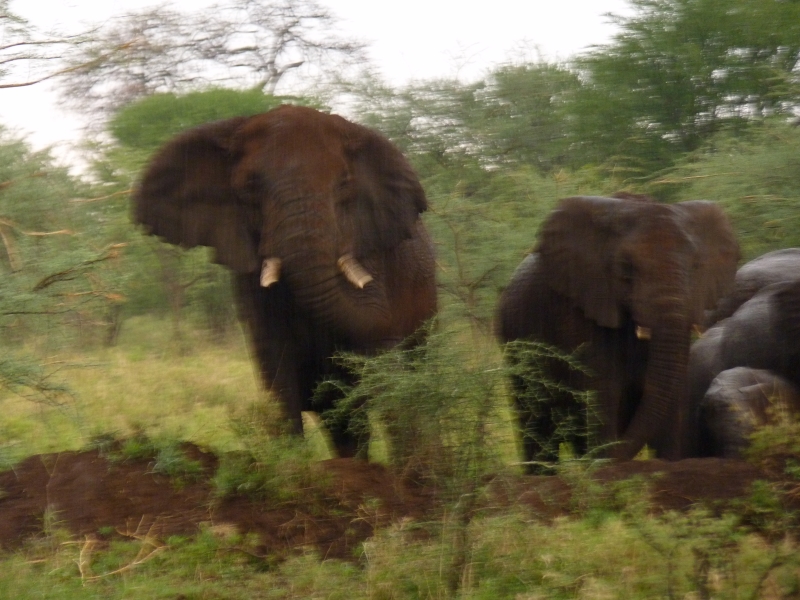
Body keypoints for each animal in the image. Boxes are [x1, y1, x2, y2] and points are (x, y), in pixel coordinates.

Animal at [133, 105, 437, 457]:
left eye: (344, 183)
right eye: (250, 187)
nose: (397, 317)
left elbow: (388, 381)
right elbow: (278, 374)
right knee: (344, 419)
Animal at [496, 195, 740, 468]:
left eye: (696, 266)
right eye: (626, 267)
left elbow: (672, 395)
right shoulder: (577, 308)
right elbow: (603, 390)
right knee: (536, 423)